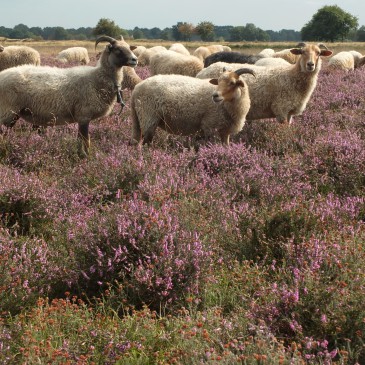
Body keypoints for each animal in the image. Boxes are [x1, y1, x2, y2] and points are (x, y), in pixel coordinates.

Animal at [0, 35, 138, 156]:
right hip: (7, 111)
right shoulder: (84, 115)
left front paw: (80, 154)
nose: (135, 59)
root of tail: (2, 75)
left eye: (129, 48)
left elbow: (81, 139)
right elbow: (85, 140)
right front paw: (86, 156)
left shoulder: (82, 116)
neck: (96, 78)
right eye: (118, 50)